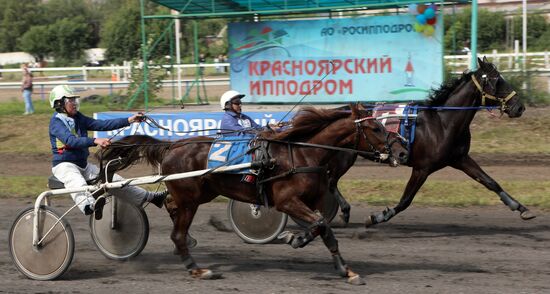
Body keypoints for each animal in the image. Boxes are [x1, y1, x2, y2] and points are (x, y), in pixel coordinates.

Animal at [98, 104, 410, 284]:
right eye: (375, 127)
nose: (402, 151)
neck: (301, 153)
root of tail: (171, 146)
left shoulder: (311, 200)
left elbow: (322, 228)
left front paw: (310, 247)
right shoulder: (286, 201)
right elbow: (321, 224)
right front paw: (334, 262)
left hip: (199, 195)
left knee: (172, 209)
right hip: (190, 198)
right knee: (177, 231)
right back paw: (196, 268)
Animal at [348, 58, 532, 227]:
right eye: (497, 80)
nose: (519, 107)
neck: (442, 123)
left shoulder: (460, 158)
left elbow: (490, 182)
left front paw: (520, 207)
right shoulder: (422, 169)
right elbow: (406, 200)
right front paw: (378, 217)